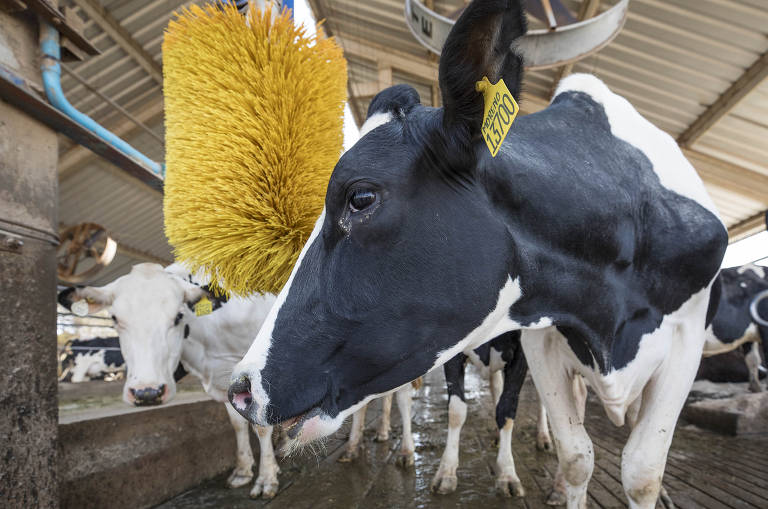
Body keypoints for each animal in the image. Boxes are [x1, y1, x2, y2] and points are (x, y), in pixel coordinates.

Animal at [228, 1, 728, 507]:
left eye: (361, 198)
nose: (241, 390)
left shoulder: (684, 339)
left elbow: (641, 471)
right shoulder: (538, 344)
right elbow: (574, 455)